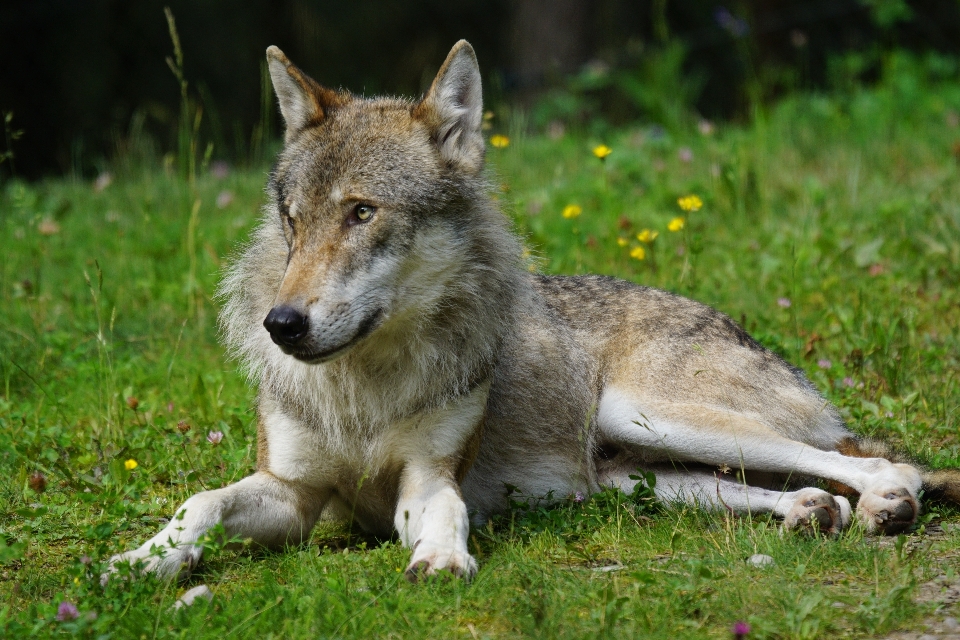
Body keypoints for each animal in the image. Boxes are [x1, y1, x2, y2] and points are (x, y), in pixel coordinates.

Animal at [105, 38, 960, 580]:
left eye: (362, 213)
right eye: (292, 221)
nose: (281, 326)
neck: (365, 389)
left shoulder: (426, 480)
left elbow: (444, 514)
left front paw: (442, 559)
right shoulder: (291, 492)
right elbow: (200, 503)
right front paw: (142, 560)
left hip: (649, 413)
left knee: (880, 464)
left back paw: (884, 504)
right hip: (635, 473)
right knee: (797, 486)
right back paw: (813, 512)